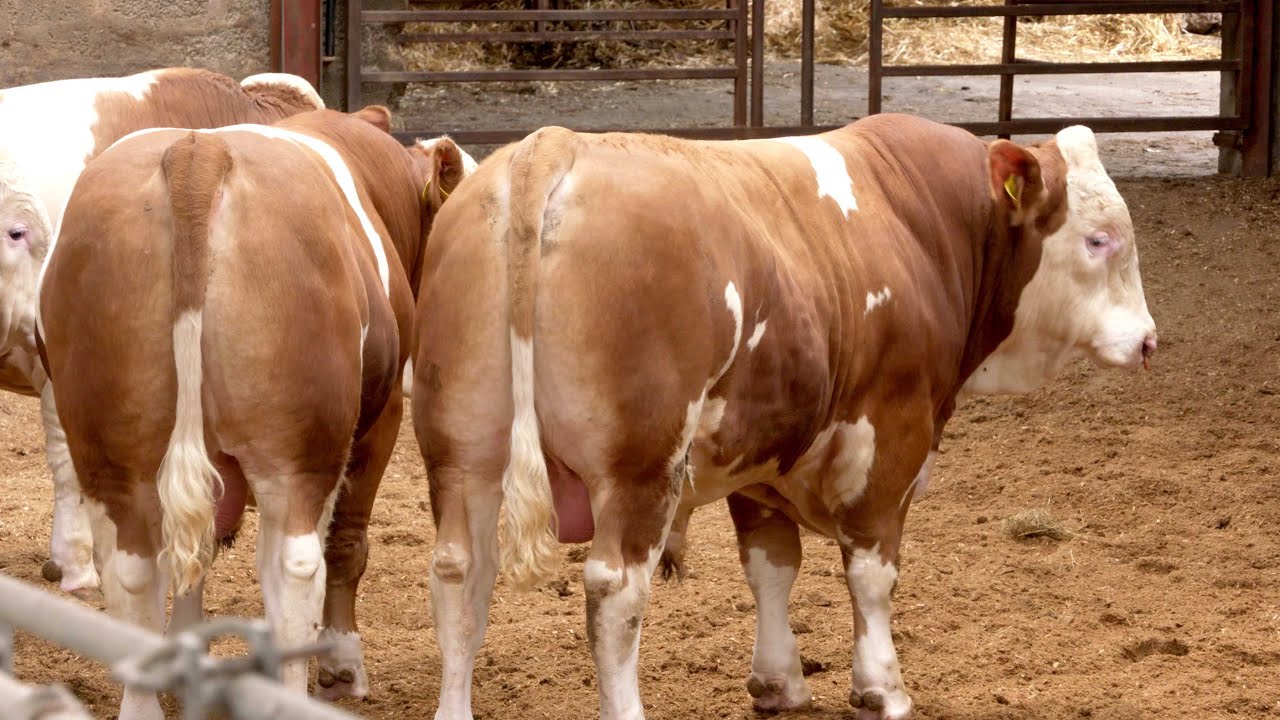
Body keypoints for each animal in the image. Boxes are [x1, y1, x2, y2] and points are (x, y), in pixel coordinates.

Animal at [37, 107, 472, 718]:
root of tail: (198, 153)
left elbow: (197, 551)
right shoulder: (381, 419)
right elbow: (346, 544)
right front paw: (342, 665)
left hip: (112, 447)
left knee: (134, 569)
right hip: (297, 450)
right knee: (294, 568)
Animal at [411, 114, 1157, 719]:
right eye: (1099, 240)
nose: (1148, 341)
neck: (921, 222)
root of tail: (552, 146)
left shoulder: (760, 454)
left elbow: (771, 565)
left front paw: (778, 681)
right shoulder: (891, 434)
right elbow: (872, 572)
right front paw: (881, 687)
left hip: (461, 451)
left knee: (459, 573)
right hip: (638, 468)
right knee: (615, 592)